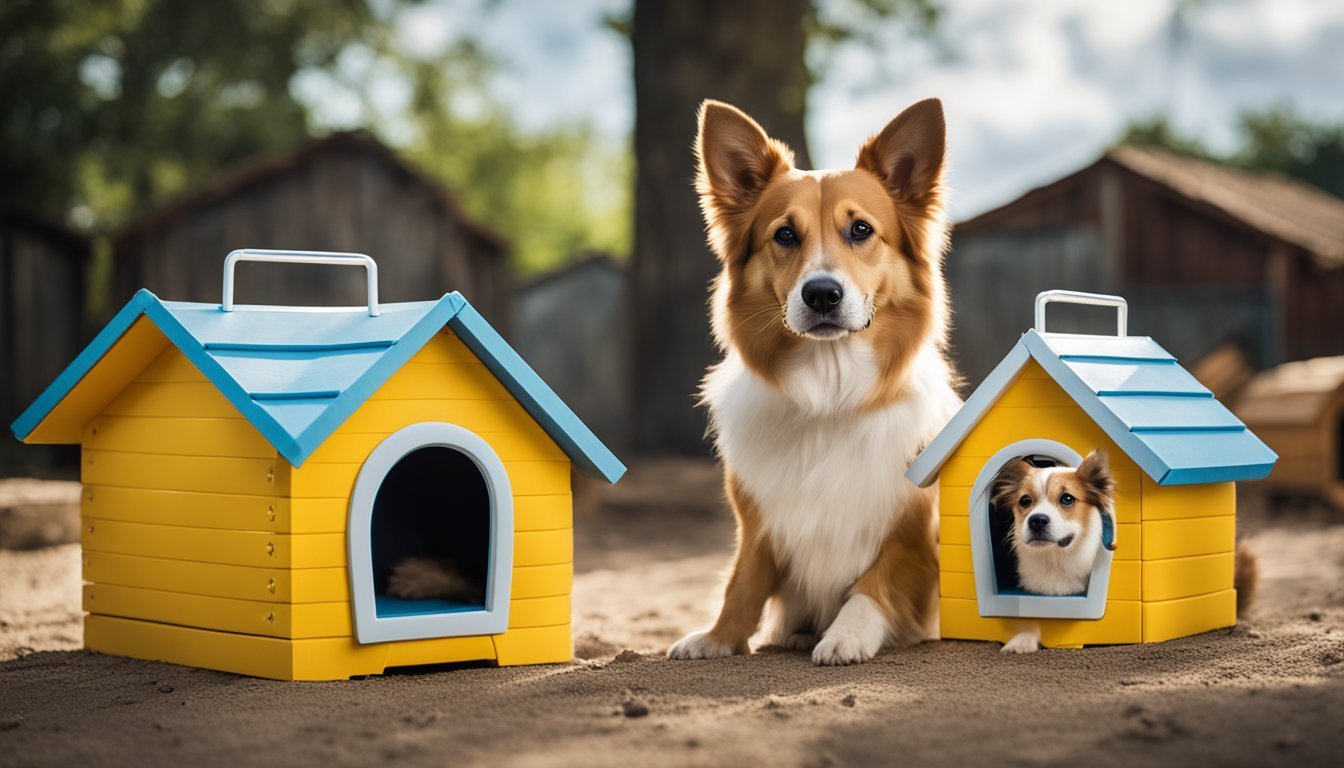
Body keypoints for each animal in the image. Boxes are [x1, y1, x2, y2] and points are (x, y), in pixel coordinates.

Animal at [666, 97, 962, 667]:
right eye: (785, 234)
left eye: (861, 230)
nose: (822, 293)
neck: (830, 391)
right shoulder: (758, 521)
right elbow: (743, 581)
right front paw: (718, 636)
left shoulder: (911, 530)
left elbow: (873, 586)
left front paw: (846, 635)